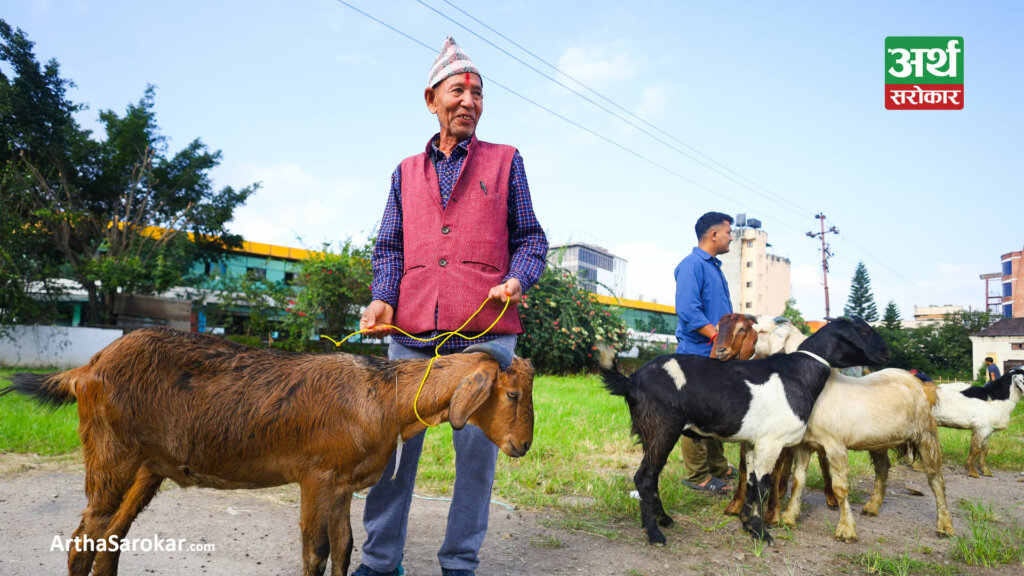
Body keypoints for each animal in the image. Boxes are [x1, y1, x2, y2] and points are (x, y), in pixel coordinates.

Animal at [2, 325, 536, 569]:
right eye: (511, 394)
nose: (523, 445)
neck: (382, 396)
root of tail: (87, 368)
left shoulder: (343, 486)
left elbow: (344, 547)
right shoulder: (316, 477)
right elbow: (316, 550)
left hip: (148, 466)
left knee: (111, 536)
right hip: (110, 454)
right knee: (83, 538)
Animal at [598, 313, 888, 541]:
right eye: (863, 331)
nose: (886, 353)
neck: (797, 373)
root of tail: (631, 379)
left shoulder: (754, 441)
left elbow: (749, 481)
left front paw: (747, 523)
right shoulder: (771, 441)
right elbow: (761, 485)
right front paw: (761, 533)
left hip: (651, 432)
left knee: (653, 474)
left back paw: (664, 520)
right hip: (662, 427)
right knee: (645, 476)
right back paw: (655, 533)